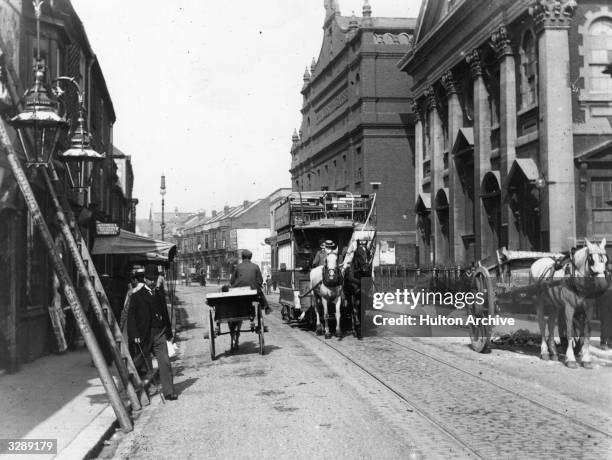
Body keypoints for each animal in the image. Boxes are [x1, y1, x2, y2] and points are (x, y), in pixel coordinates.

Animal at [528, 239, 608, 368]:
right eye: (591, 260)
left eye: (605, 260)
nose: (603, 285)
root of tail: (536, 262)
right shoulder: (569, 307)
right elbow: (570, 331)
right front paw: (570, 358)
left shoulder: (588, 309)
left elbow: (586, 332)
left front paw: (586, 359)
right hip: (538, 301)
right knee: (542, 323)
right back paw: (544, 351)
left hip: (553, 304)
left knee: (551, 323)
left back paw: (553, 352)